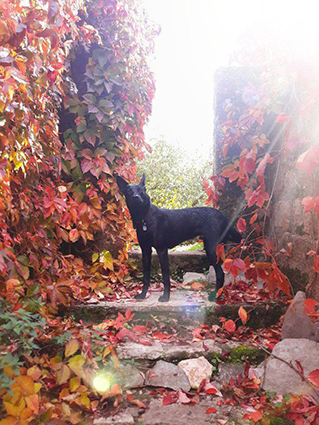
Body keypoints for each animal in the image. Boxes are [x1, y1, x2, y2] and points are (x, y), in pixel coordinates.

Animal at [116, 173, 241, 302]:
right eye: (129, 191)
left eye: (142, 190)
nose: (136, 197)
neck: (145, 218)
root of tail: (224, 217)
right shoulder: (145, 251)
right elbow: (146, 276)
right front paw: (143, 294)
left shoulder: (162, 250)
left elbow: (165, 276)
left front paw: (166, 297)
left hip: (212, 250)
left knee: (220, 273)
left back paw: (216, 295)